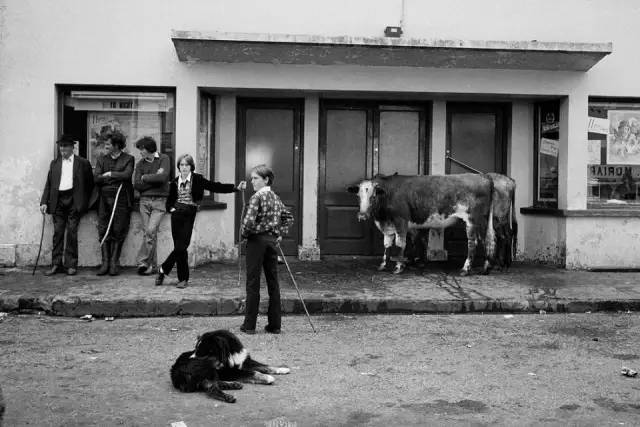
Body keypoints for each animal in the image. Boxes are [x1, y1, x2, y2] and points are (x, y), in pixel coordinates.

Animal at [350, 175, 496, 278]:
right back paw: (486, 268)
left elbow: (400, 243)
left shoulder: (401, 221)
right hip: (482, 222)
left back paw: (466, 269)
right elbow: (387, 245)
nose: (362, 215)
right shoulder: (388, 226)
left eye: (373, 196)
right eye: (358, 196)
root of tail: (484, 177)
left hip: (473, 220)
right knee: (486, 241)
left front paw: (398, 267)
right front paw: (383, 265)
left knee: (473, 243)